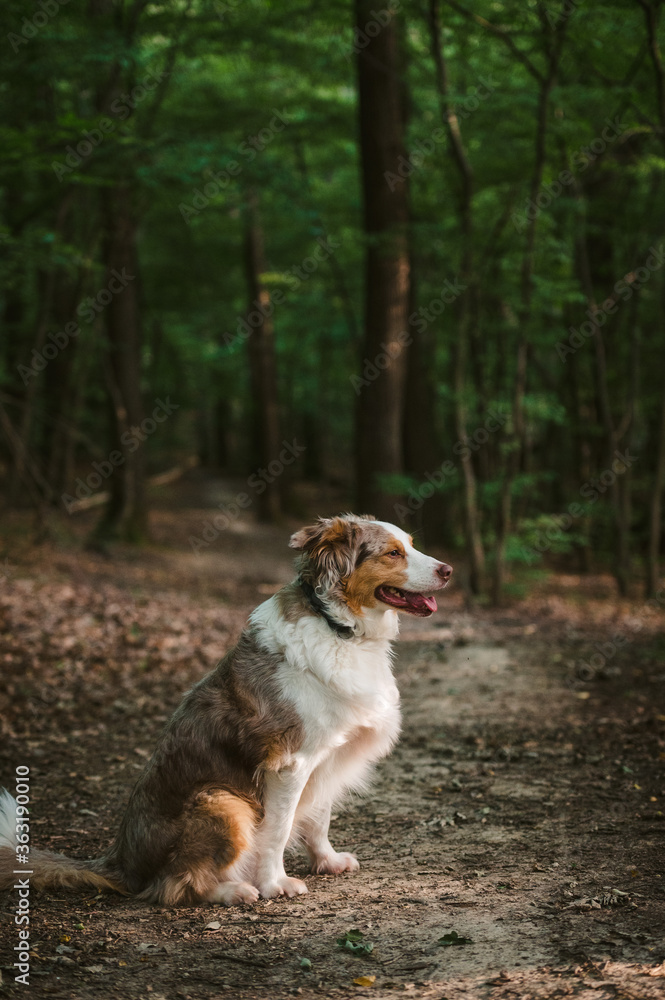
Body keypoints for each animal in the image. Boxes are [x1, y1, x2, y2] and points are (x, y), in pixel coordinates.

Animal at [0, 516, 448, 908]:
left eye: (411, 544)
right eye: (393, 553)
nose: (448, 570)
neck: (337, 628)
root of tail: (121, 863)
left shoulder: (326, 755)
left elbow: (319, 817)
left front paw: (327, 861)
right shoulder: (290, 762)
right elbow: (277, 831)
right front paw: (275, 883)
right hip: (222, 801)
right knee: (171, 887)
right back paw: (233, 890)